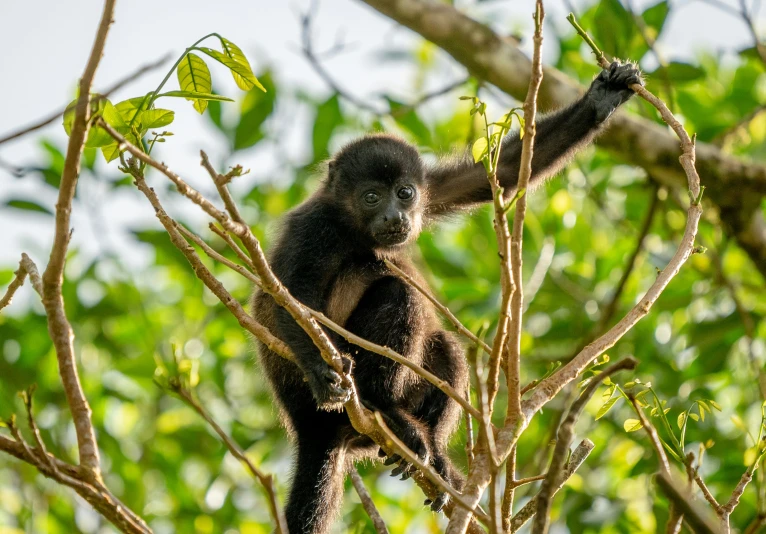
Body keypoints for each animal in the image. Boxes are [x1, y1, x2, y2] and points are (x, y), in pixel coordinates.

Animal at [255, 60, 644, 532]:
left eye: (404, 192)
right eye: (371, 197)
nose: (395, 216)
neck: (351, 225)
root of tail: (309, 428)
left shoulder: (431, 187)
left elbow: (494, 175)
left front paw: (602, 98)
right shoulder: (313, 228)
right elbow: (290, 298)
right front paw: (320, 371)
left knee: (445, 346)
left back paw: (432, 457)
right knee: (397, 292)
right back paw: (385, 409)